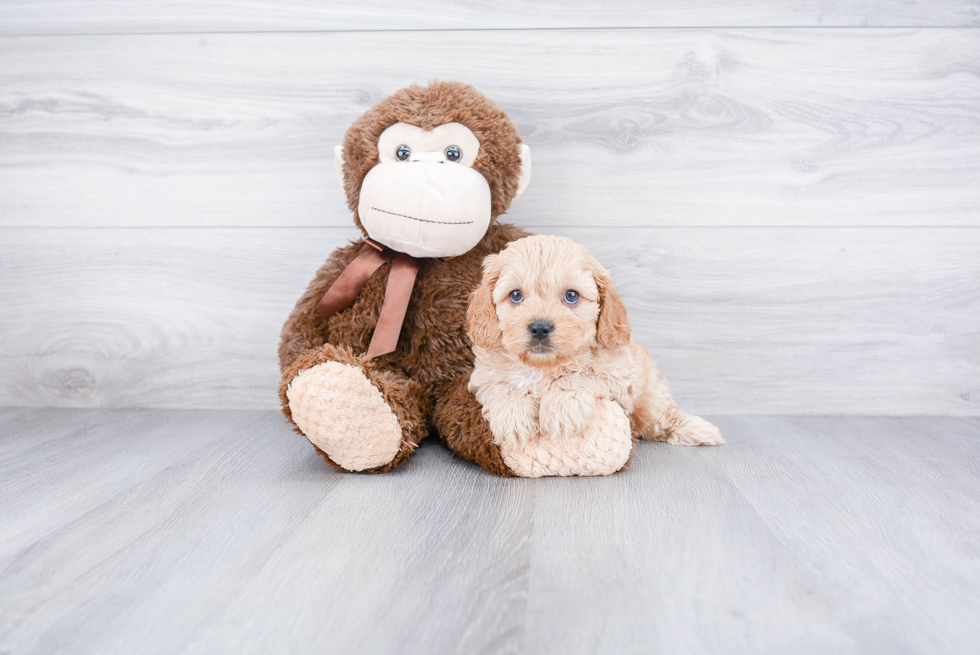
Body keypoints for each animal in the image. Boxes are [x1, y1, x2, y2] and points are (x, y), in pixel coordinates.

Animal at [468, 234, 720, 476]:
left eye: (571, 295)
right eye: (516, 295)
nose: (540, 328)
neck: (544, 366)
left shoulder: (617, 376)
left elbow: (580, 375)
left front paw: (561, 409)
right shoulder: (483, 375)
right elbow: (503, 385)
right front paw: (513, 416)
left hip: (650, 401)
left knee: (665, 417)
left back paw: (701, 430)